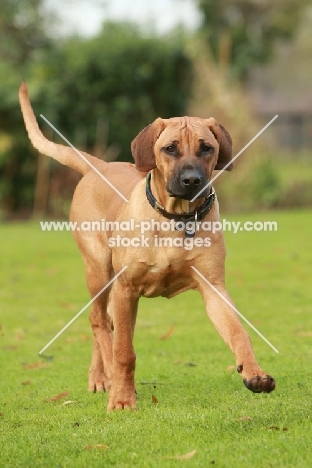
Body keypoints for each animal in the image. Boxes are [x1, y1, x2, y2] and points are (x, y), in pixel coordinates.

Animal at [18, 81, 276, 410]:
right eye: (170, 148)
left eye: (206, 147)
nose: (192, 180)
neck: (176, 218)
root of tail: (99, 165)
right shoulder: (126, 287)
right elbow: (124, 352)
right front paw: (122, 399)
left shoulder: (213, 287)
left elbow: (239, 332)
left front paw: (254, 373)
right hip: (100, 271)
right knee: (99, 322)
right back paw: (109, 376)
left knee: (107, 324)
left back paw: (99, 377)